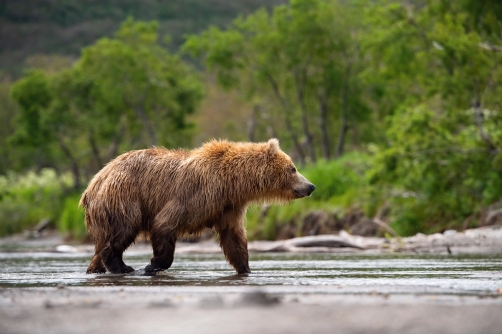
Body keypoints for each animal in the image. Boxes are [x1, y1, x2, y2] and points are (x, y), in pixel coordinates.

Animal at [78, 138, 314, 274]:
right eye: (293, 168)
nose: (311, 186)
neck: (232, 183)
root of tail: (93, 183)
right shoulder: (196, 194)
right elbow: (165, 223)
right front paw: (153, 264)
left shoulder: (227, 206)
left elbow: (234, 237)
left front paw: (246, 268)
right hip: (124, 197)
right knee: (123, 230)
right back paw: (122, 266)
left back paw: (96, 268)